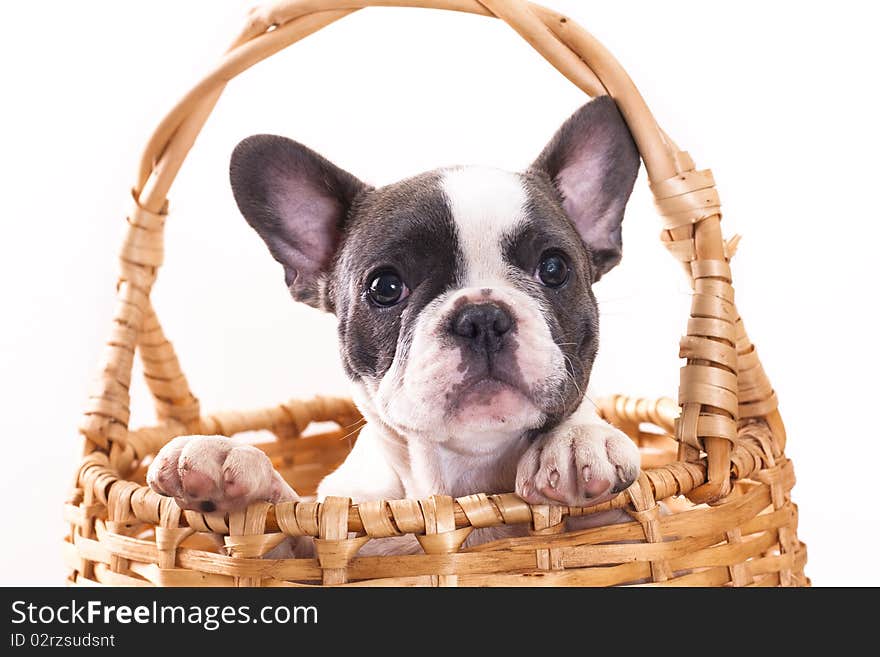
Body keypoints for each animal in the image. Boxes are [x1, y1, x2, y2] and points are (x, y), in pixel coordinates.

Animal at [148, 95, 644, 552]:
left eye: (554, 268)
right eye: (385, 287)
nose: (482, 318)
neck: (462, 481)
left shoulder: (620, 530)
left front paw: (578, 439)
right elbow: (277, 525)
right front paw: (224, 457)